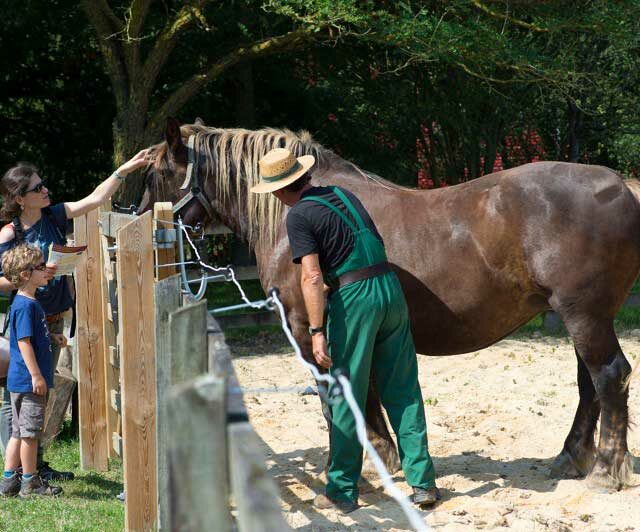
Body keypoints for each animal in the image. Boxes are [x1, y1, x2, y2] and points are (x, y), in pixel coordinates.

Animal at [141, 119, 640, 490]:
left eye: (156, 174)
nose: (146, 232)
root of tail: (619, 186)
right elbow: (369, 389)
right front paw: (385, 458)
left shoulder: (310, 331)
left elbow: (340, 394)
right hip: (585, 316)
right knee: (589, 383)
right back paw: (571, 458)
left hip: (584, 315)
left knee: (608, 375)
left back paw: (605, 471)